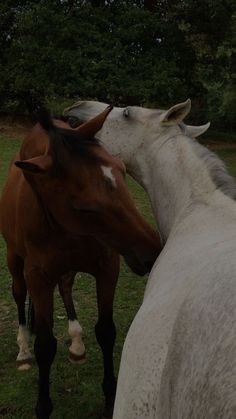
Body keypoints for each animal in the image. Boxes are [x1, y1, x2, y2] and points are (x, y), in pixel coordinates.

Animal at [0, 106, 162, 418]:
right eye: (84, 207)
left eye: (123, 171)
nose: (151, 251)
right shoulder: (38, 277)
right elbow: (45, 345)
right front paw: (43, 405)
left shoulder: (107, 268)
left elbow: (106, 331)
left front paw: (110, 396)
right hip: (15, 261)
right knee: (19, 293)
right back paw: (23, 350)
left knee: (65, 287)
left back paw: (76, 343)